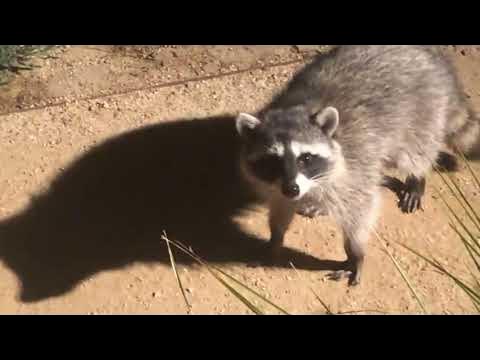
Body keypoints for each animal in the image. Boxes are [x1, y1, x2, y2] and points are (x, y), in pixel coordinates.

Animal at [236, 45, 480, 286]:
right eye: (273, 160)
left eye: (305, 158)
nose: (292, 189)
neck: (295, 108)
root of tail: (437, 61)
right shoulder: (276, 183)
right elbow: (280, 205)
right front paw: (275, 236)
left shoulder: (354, 162)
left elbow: (360, 209)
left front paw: (355, 252)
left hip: (423, 111)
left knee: (415, 151)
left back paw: (416, 177)